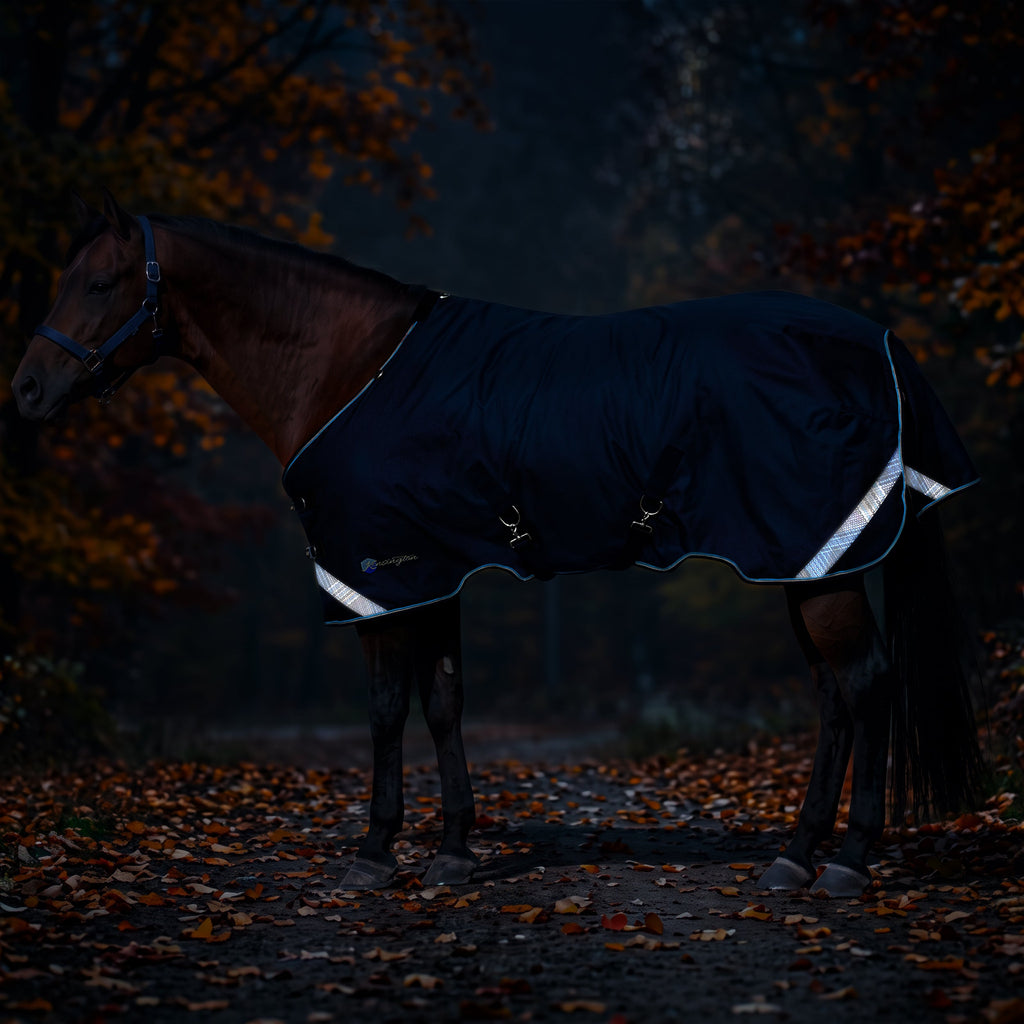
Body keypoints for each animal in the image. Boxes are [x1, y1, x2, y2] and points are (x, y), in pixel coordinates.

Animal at [11, 193, 984, 898]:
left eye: (99, 283)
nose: (25, 390)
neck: (347, 366)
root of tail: (879, 342)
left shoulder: (376, 578)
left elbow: (385, 710)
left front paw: (375, 852)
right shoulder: (432, 574)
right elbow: (444, 704)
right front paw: (451, 850)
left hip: (817, 564)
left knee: (865, 684)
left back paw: (846, 863)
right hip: (806, 561)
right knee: (834, 697)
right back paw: (795, 855)